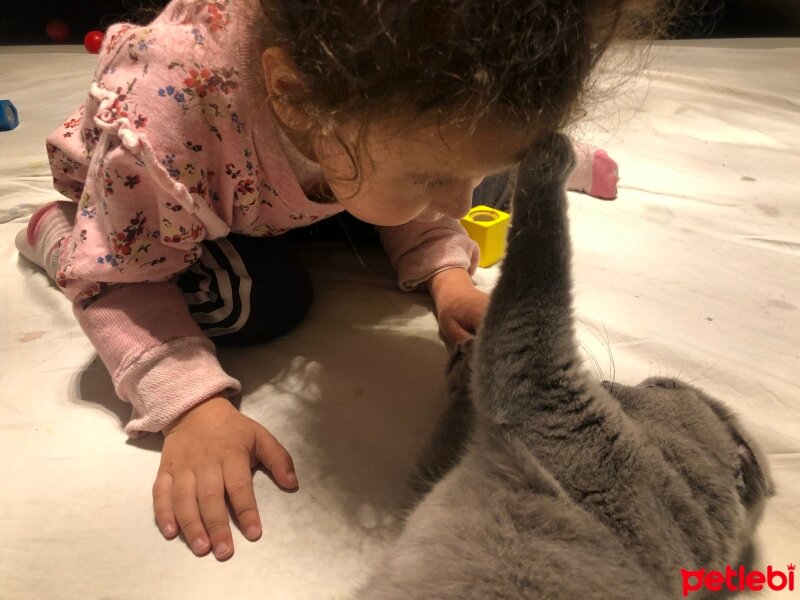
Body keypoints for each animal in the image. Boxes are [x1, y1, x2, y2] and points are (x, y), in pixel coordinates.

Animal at [354, 135, 772, 600]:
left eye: (659, 385)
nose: (611, 382)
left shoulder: (546, 390)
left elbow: (536, 281)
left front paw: (552, 152)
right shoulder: (431, 479)